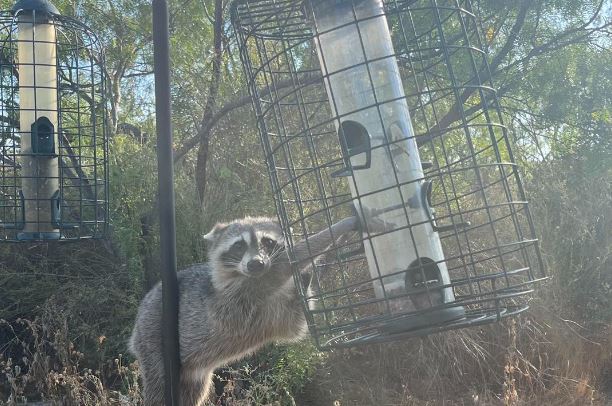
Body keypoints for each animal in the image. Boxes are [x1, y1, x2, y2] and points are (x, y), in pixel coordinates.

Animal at [129, 214, 358, 404]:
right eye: (238, 246)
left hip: (192, 374)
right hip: (152, 337)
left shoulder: (272, 313)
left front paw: (311, 271)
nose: (256, 263)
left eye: (268, 242)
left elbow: (294, 324)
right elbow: (281, 268)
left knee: (193, 393)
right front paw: (333, 231)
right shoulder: (232, 298)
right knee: (159, 387)